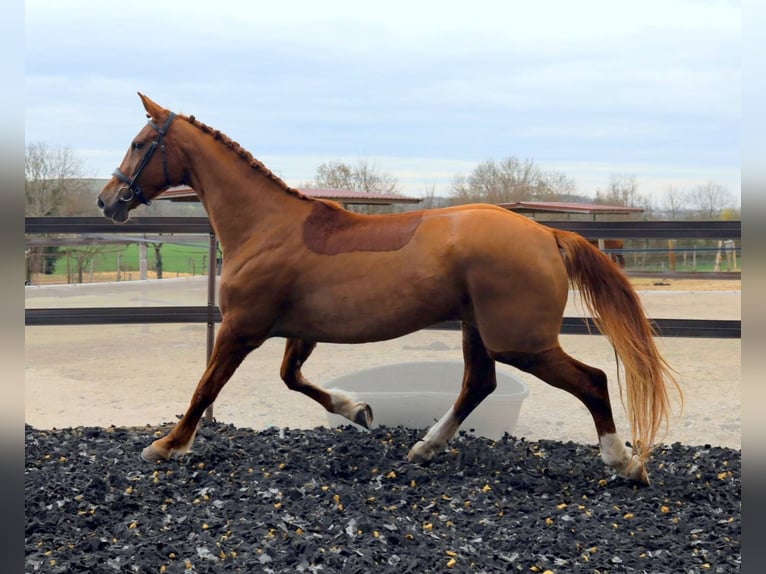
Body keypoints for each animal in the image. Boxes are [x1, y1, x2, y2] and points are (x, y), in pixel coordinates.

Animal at [98, 93, 681, 484]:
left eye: (139, 143)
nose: (108, 201)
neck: (266, 227)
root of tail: (548, 233)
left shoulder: (241, 329)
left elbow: (205, 388)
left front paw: (167, 445)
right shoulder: (300, 331)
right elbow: (292, 379)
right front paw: (358, 410)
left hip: (522, 341)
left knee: (592, 380)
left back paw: (624, 462)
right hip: (479, 329)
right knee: (479, 384)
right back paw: (423, 449)